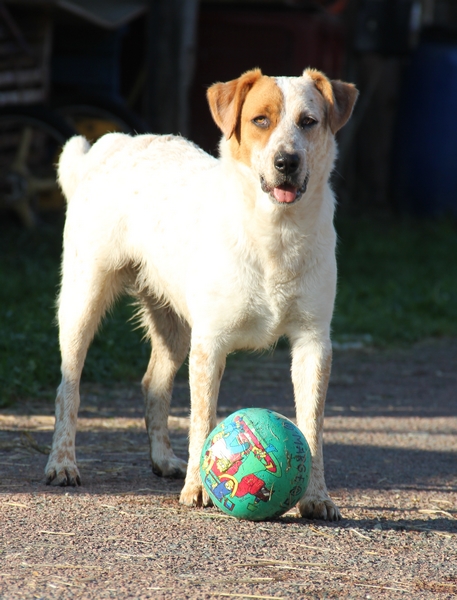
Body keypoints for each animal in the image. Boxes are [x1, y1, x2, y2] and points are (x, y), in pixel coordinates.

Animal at [47, 67, 360, 520]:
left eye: (308, 121)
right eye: (260, 120)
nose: (287, 162)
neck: (275, 233)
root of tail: (114, 142)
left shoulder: (314, 343)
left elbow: (312, 425)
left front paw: (316, 496)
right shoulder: (210, 343)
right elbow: (202, 420)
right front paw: (199, 487)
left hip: (175, 328)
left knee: (153, 383)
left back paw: (163, 459)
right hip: (82, 301)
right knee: (67, 388)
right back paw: (62, 463)